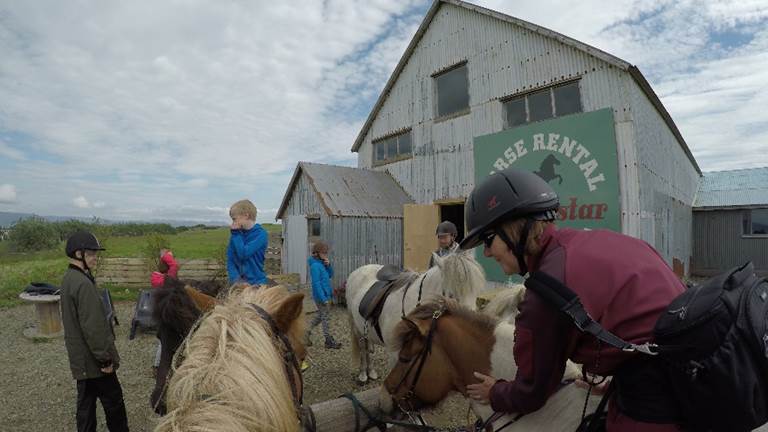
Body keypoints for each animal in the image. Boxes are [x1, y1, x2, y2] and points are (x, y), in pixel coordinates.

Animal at [344, 251, 484, 384]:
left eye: (476, 294)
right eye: (450, 295)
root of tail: (359, 270)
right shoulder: (395, 354)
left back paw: (371, 371)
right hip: (357, 328)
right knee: (363, 347)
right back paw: (363, 374)